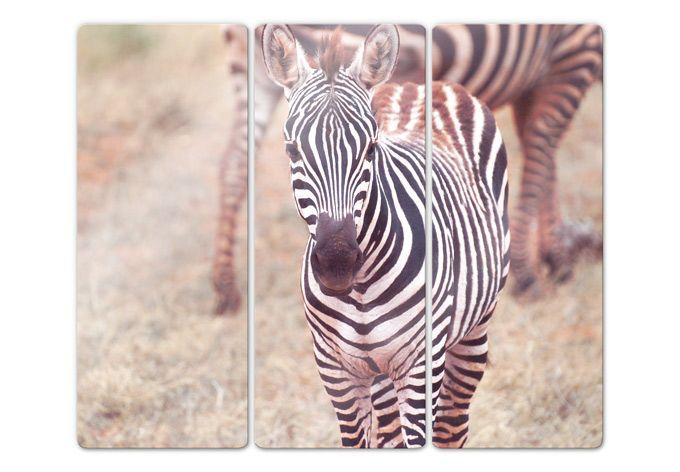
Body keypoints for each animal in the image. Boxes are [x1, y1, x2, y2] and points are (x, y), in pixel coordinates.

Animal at [213, 24, 601, 313]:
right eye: (293, 150)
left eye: (370, 148)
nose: (337, 262)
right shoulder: (576, 53)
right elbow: (541, 147)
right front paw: (534, 268)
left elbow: (541, 153)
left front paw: (554, 252)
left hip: (253, 71)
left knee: (233, 165)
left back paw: (226, 288)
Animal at [261, 24, 509, 448]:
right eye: (292, 151)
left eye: (371, 148)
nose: (337, 262)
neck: (360, 289)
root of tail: (421, 85)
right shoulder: (336, 369)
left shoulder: (421, 363)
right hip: (379, 373)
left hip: (474, 328)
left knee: (453, 425)